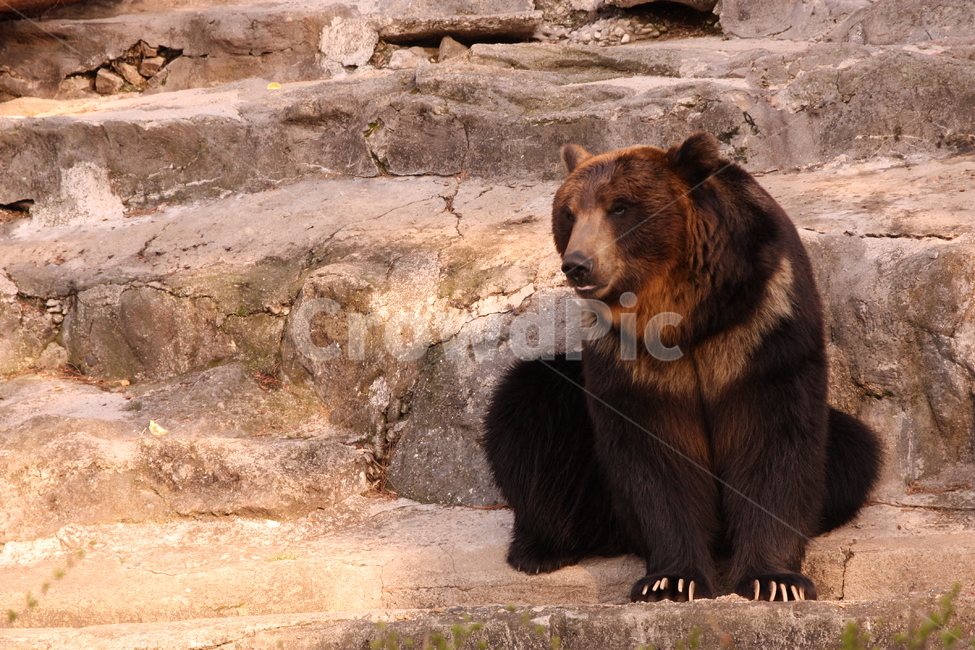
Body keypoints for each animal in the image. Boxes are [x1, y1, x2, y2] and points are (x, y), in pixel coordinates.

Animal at [482, 132, 882, 603]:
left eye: (620, 207)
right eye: (568, 213)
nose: (578, 264)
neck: (681, 311)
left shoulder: (760, 321)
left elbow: (775, 438)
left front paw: (775, 581)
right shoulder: (630, 356)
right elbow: (655, 457)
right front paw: (671, 580)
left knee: (855, 452)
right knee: (530, 404)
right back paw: (539, 548)